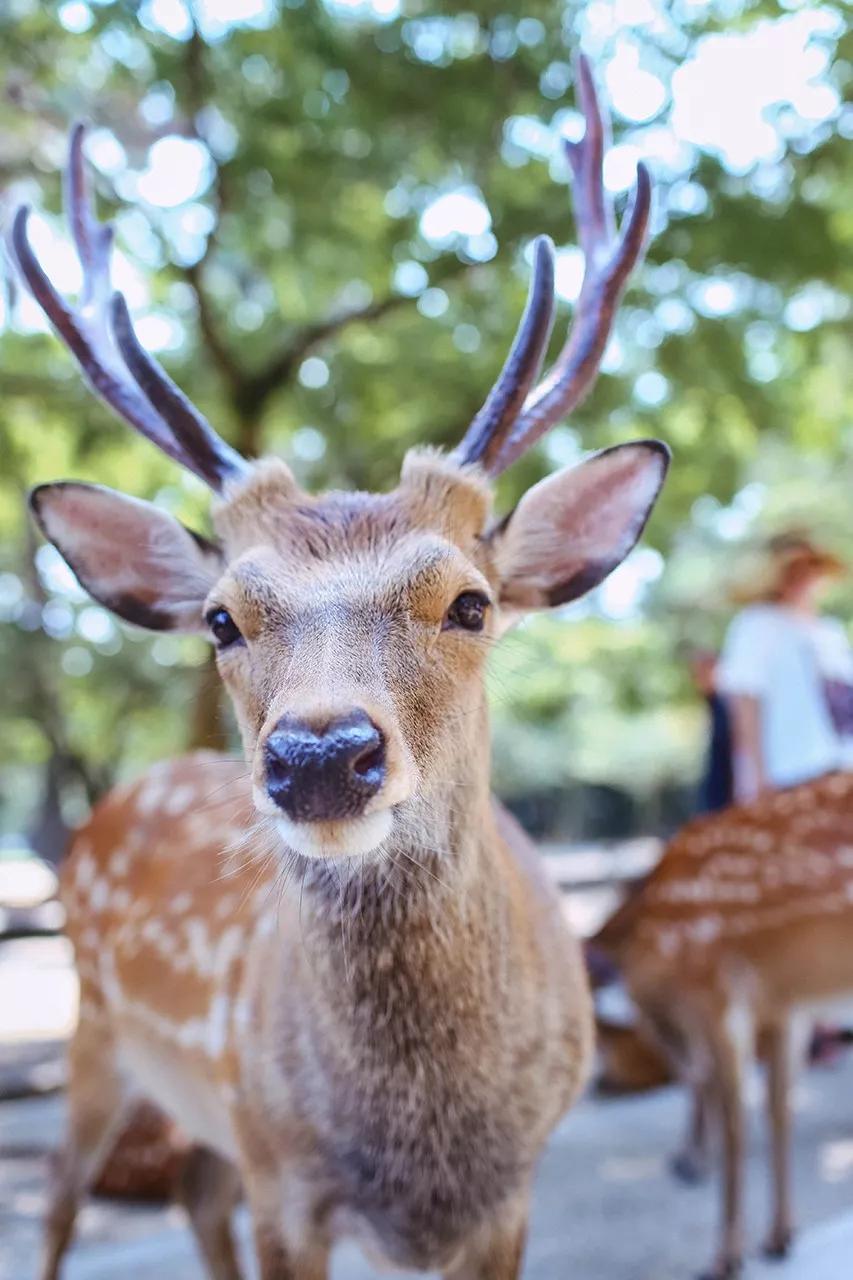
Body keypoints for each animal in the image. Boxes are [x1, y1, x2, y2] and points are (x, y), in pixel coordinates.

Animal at [9, 60, 666, 1280]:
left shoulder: (511, 1193)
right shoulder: (287, 1176)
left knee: (191, 1189)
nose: (321, 753)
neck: (416, 1150)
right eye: (221, 618)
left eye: (472, 601)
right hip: (101, 1035)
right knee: (65, 1200)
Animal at [589, 768, 850, 1280]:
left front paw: (726, 1256)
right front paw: (780, 1236)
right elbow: (779, 1110)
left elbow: (735, 1123)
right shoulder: (785, 1006)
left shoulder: (719, 991)